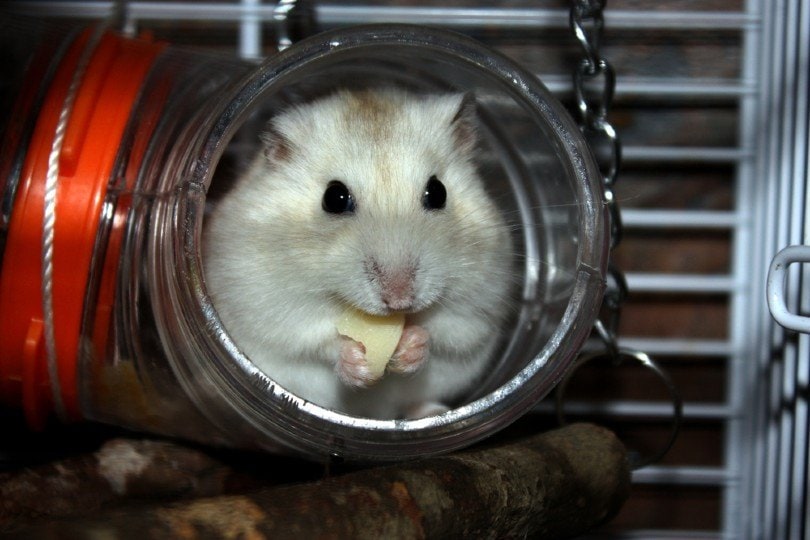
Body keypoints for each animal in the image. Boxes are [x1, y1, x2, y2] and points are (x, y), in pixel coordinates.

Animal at [203, 89, 514, 419]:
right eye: (334, 198)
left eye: (438, 192)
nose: (400, 300)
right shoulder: (270, 306)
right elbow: (317, 341)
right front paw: (358, 364)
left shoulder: (478, 305)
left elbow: (443, 331)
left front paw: (411, 347)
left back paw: (429, 413)